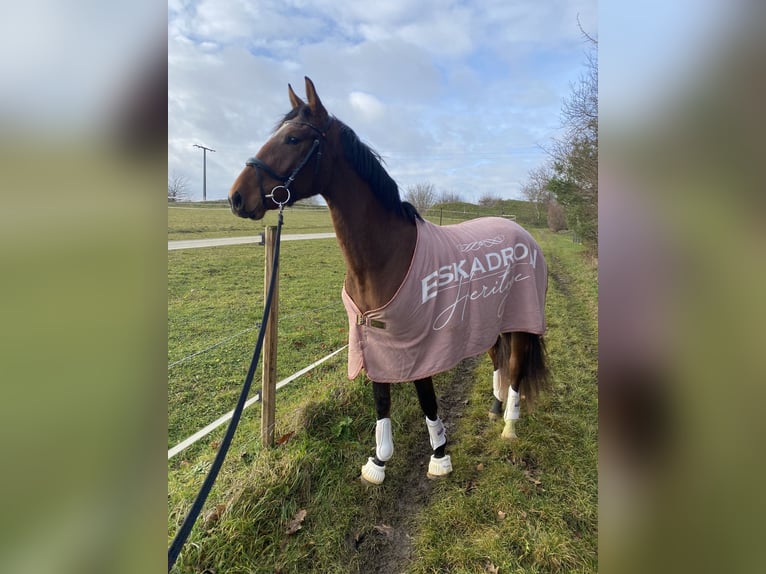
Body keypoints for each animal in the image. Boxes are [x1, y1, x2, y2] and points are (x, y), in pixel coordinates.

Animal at [225, 75, 548, 482]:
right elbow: (381, 399)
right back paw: (494, 408)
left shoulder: (421, 342)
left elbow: (426, 397)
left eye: (293, 139)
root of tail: (523, 233)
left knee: (517, 365)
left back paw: (509, 425)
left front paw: (439, 456)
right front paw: (379, 462)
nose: (237, 197)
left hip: (522, 322)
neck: (386, 256)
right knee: (498, 360)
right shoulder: (374, 340)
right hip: (491, 320)